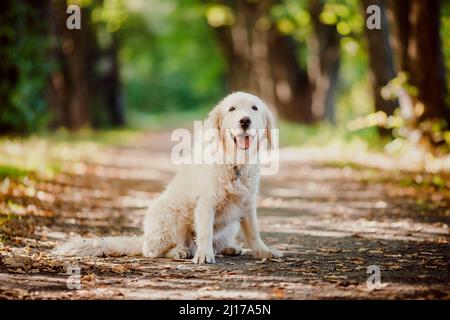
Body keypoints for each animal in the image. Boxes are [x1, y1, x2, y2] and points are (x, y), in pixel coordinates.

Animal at [52, 91, 284, 264]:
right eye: (232, 109)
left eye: (254, 108)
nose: (245, 121)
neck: (235, 162)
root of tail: (144, 236)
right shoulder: (206, 202)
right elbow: (205, 232)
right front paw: (204, 255)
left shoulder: (247, 203)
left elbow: (254, 232)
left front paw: (264, 252)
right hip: (172, 216)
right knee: (152, 251)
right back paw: (180, 251)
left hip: (229, 226)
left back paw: (228, 248)